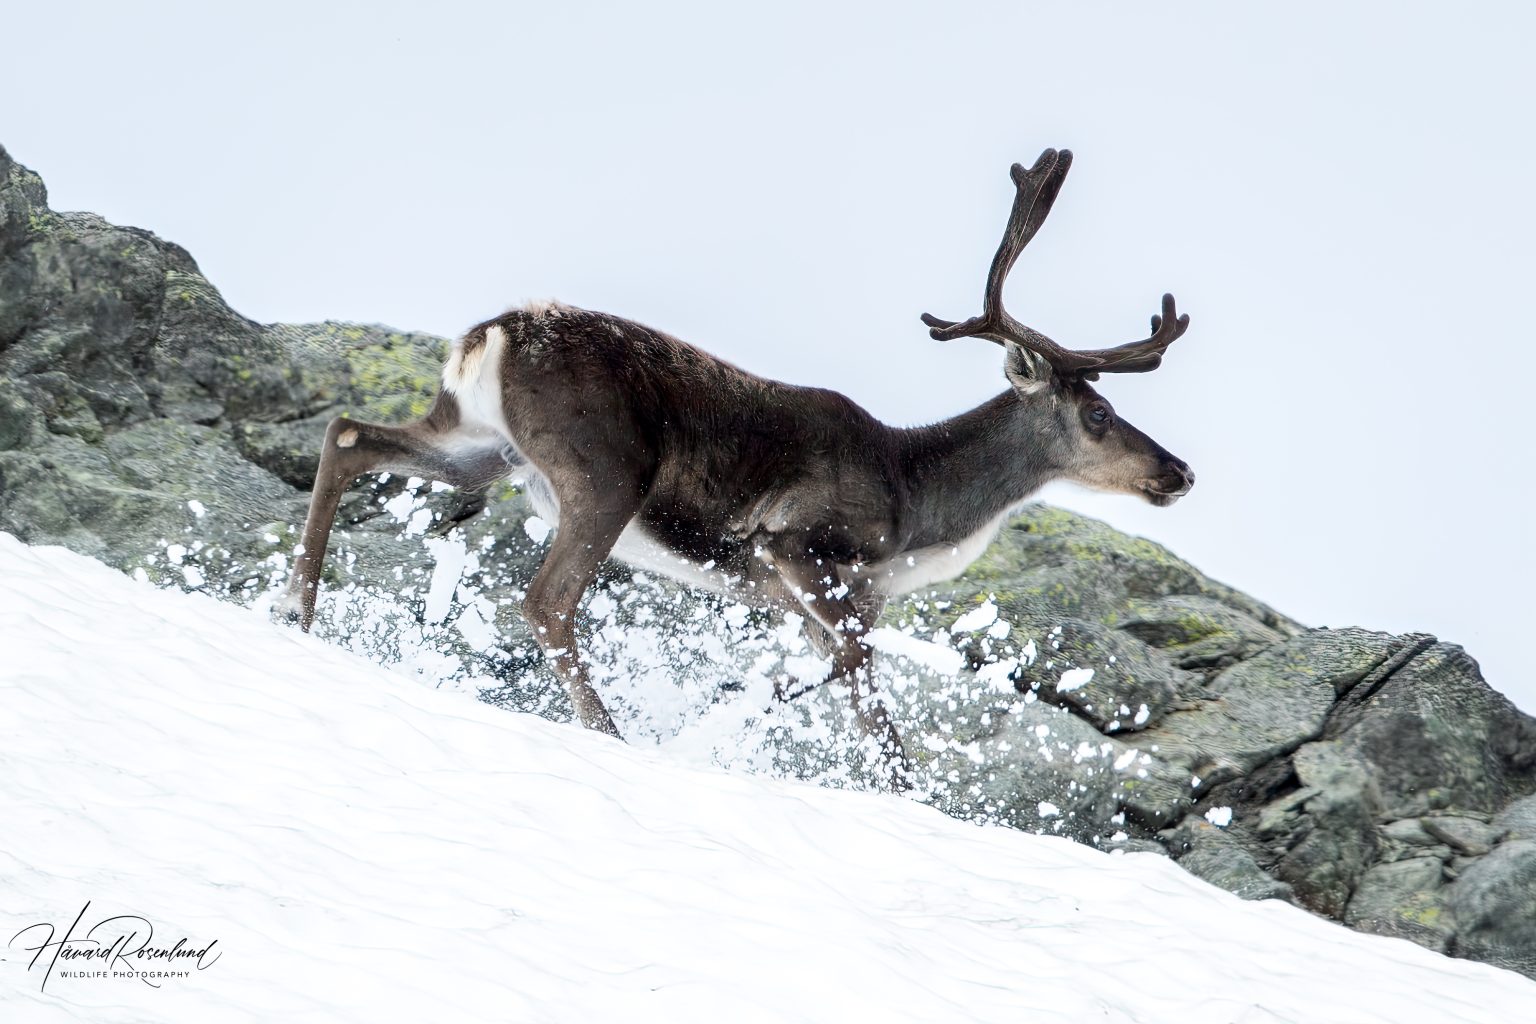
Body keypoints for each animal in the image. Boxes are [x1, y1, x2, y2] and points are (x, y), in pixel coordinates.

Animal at [280, 148, 1194, 790]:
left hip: (479, 443)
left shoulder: (803, 600)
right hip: (604, 473)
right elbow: (864, 689)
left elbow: (828, 684)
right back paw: (611, 734)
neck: (917, 506)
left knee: (350, 434)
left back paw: (296, 612)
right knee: (546, 601)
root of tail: (492, 332)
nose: (1180, 471)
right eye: (1099, 414)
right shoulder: (801, 548)